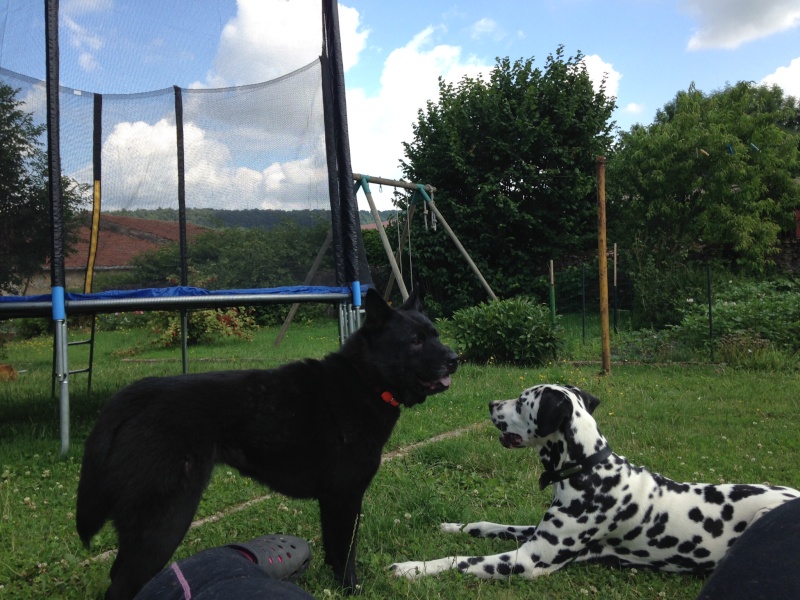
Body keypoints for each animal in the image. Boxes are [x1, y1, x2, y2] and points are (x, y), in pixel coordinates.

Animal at [79, 288, 462, 596]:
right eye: (415, 340)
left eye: (436, 334)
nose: (456, 359)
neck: (363, 379)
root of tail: (133, 397)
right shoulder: (346, 497)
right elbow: (346, 553)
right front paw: (352, 590)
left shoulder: (331, 500)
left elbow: (334, 552)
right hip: (166, 521)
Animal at [392, 384, 800, 580]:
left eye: (523, 401)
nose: (491, 404)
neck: (588, 470)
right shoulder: (535, 533)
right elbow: (486, 525)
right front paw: (452, 526)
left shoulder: (528, 560)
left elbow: (460, 560)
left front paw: (413, 568)